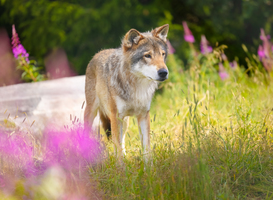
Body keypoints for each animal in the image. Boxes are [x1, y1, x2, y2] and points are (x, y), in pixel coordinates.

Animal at [84, 25, 168, 162]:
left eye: (162, 54)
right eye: (147, 55)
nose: (164, 72)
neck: (137, 87)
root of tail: (99, 53)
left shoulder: (143, 115)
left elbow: (147, 149)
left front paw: (149, 167)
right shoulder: (115, 116)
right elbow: (117, 149)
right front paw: (121, 168)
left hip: (125, 121)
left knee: (122, 141)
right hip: (92, 112)